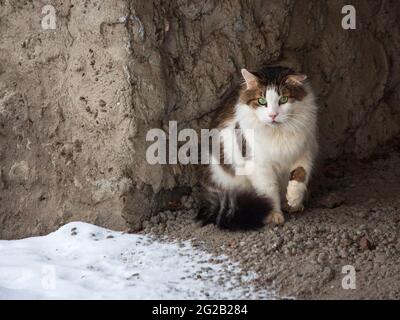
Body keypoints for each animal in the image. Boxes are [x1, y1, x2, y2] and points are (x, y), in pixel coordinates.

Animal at [195, 65, 318, 230]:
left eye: (283, 100)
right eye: (261, 101)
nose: (273, 115)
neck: (278, 133)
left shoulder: (304, 153)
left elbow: (300, 176)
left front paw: (293, 198)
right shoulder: (259, 165)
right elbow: (269, 191)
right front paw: (273, 215)